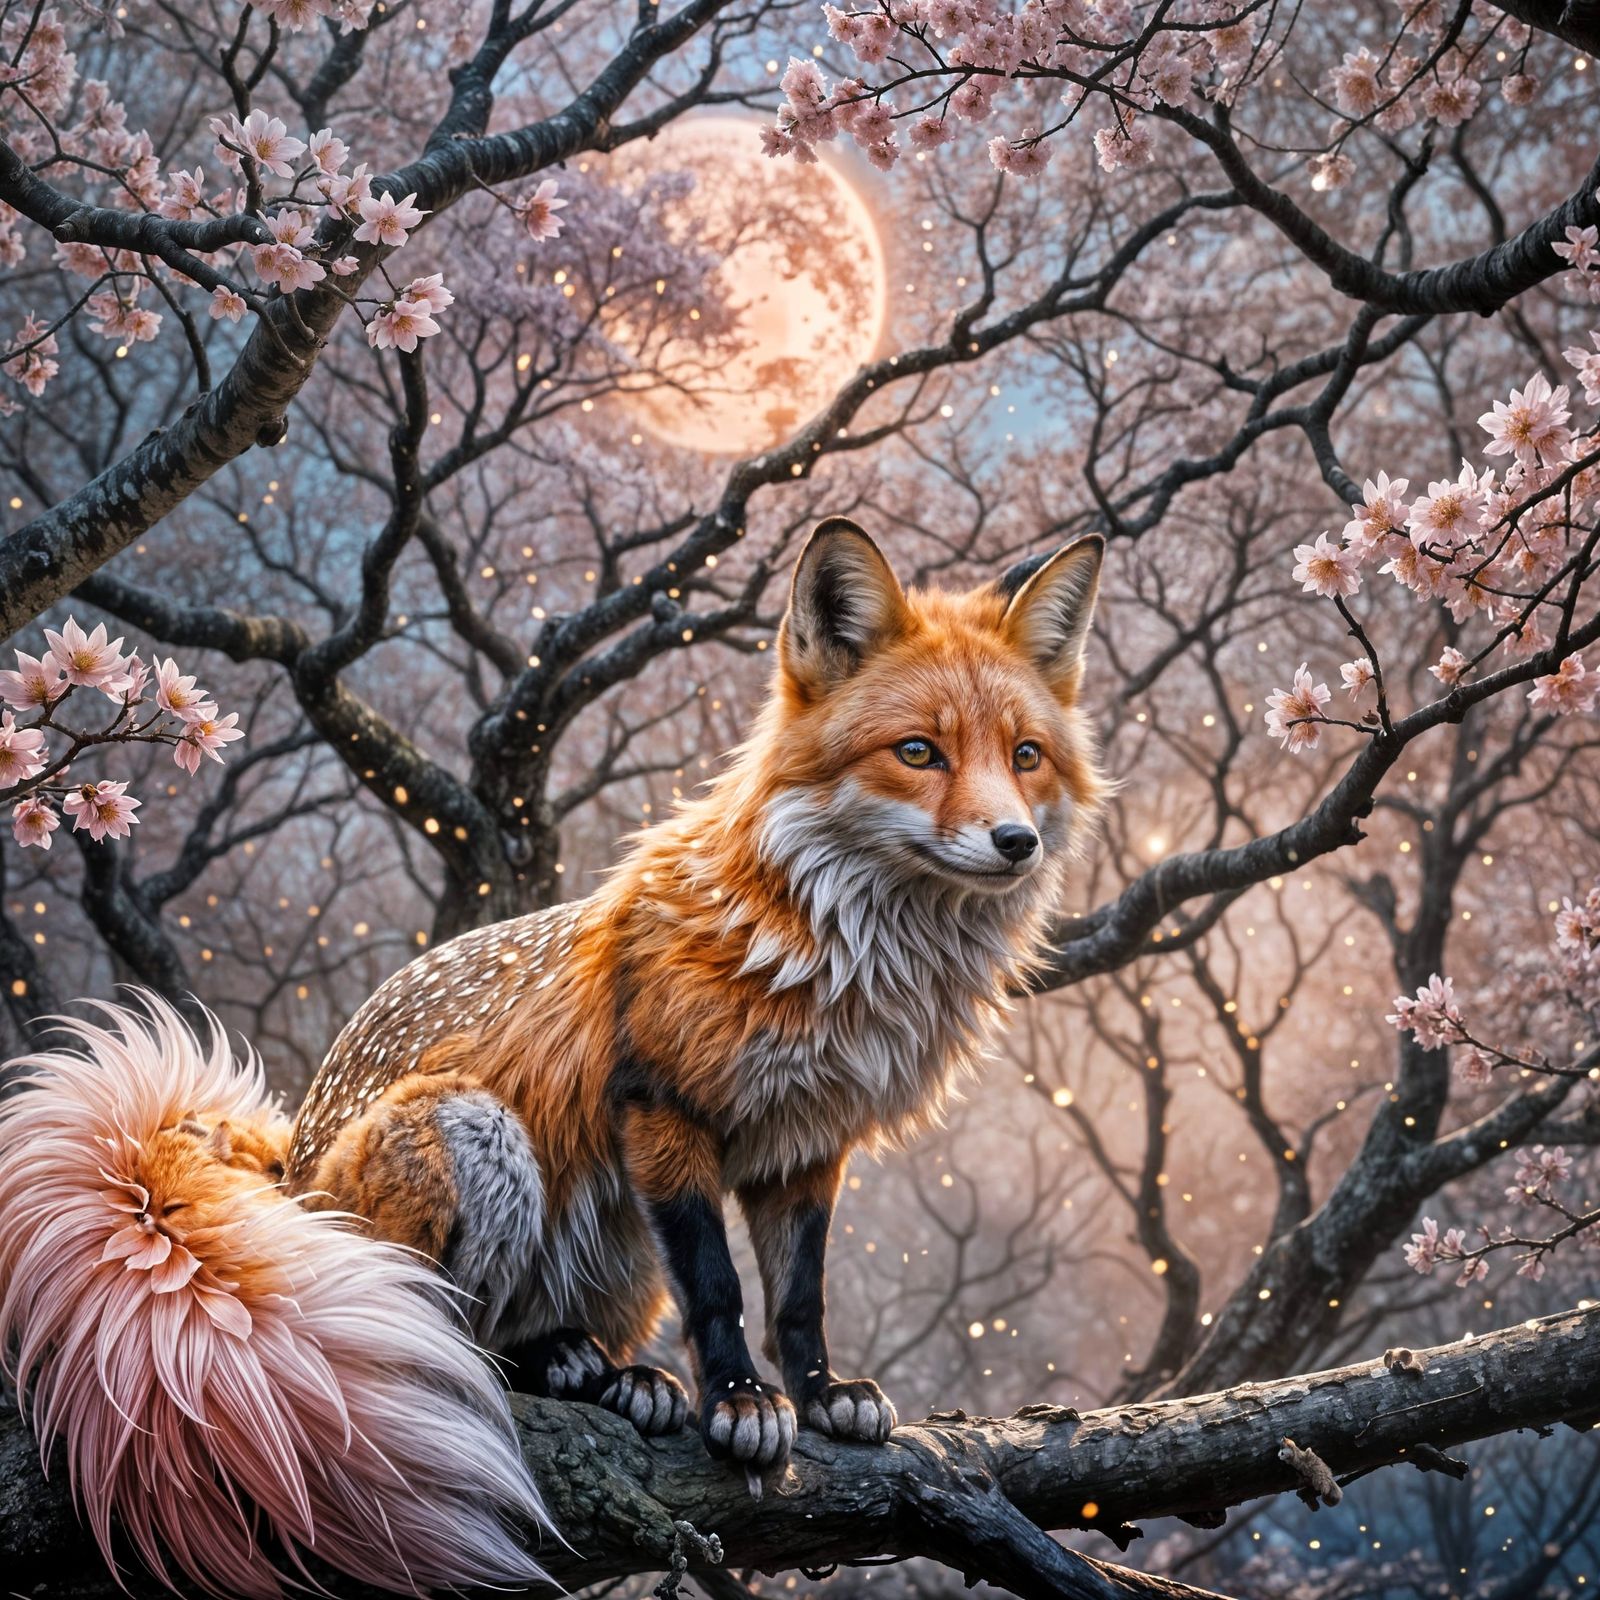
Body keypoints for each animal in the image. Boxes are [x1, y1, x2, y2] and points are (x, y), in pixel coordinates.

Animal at [0, 517, 1103, 1595]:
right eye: (917, 751)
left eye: (1026, 755)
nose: (1015, 842)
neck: (836, 959)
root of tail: (289, 1170)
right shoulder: (662, 1108)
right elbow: (720, 1288)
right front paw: (741, 1402)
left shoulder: (806, 1145)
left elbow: (799, 1295)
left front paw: (824, 1392)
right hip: (472, 1133)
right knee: (446, 1349)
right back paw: (557, 1371)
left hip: (621, 1256)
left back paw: (608, 1372)